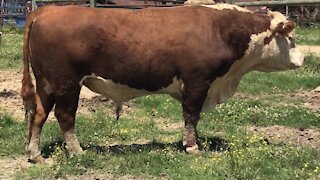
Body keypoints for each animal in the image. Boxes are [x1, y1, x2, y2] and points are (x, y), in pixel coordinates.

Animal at [21, 4, 302, 163]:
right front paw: (192, 146)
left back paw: (35, 154)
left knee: (39, 114)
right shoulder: (197, 81)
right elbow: (191, 115)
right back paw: (77, 151)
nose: (303, 58)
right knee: (65, 115)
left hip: (46, 83)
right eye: (290, 37)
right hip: (66, 82)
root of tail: (48, 9)